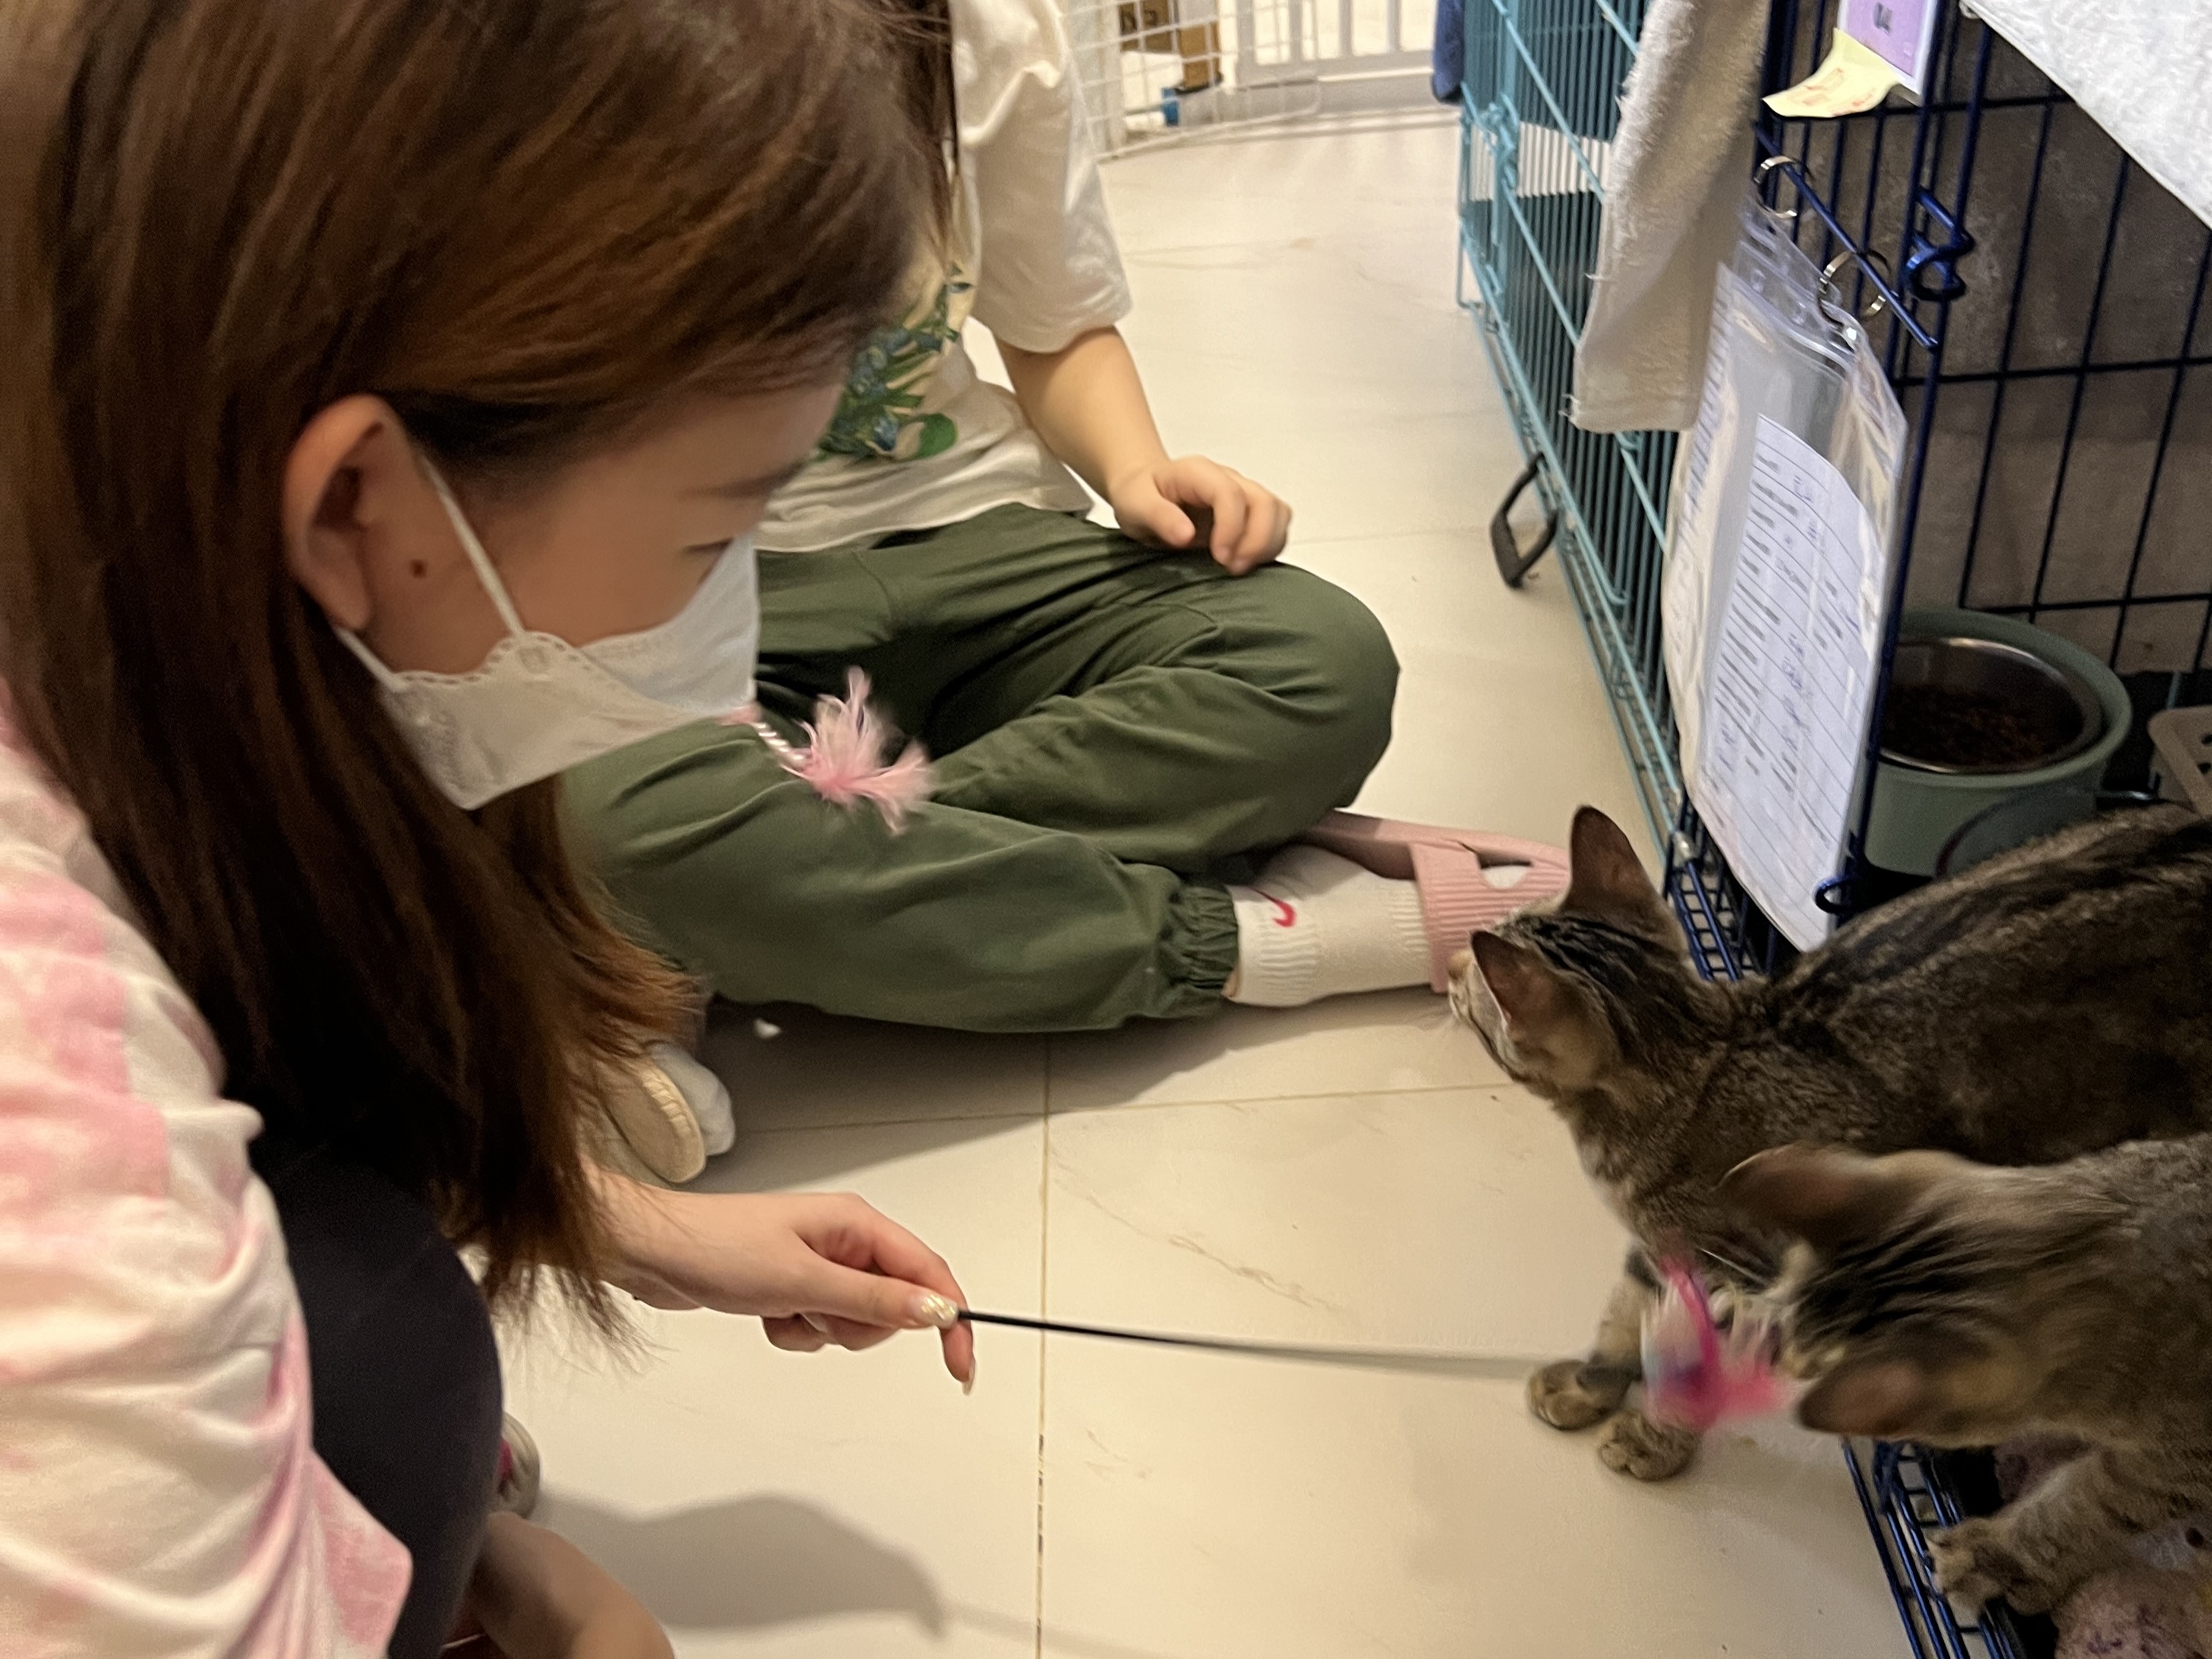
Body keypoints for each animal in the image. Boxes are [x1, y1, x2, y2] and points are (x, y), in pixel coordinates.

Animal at [1442, 805, 2212, 1478]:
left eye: (1475, 989)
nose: (1449, 963)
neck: (1697, 1067)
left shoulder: (1741, 1272)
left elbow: (1691, 1362)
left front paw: (1656, 1440)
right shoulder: (1663, 1252)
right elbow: (1621, 1320)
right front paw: (1591, 1387)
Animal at [1725, 1141, 2212, 1610]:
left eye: (1813, 1367)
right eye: (1788, 1282)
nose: (1784, 1360)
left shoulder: (2172, 1464)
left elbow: (2081, 1510)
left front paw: (1991, 1558)